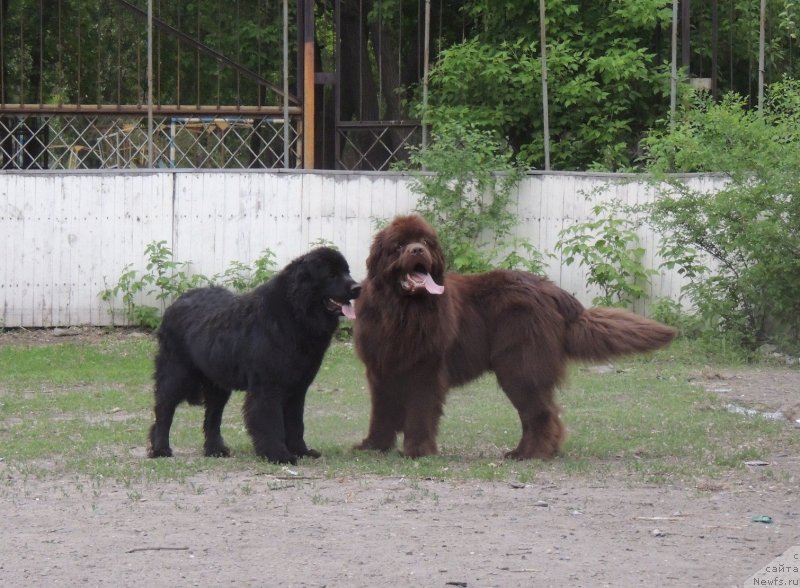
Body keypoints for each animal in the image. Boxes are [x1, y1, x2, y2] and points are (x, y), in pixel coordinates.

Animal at [148, 246, 360, 462]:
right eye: (332, 275)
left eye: (347, 272)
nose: (357, 288)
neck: (294, 313)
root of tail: (176, 302)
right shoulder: (268, 386)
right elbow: (271, 421)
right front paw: (278, 454)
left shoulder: (298, 388)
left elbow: (296, 423)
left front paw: (301, 451)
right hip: (175, 372)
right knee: (164, 411)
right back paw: (161, 449)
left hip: (217, 383)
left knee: (212, 417)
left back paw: (215, 449)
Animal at [354, 215, 672, 460]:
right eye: (399, 246)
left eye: (426, 242)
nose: (418, 250)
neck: (401, 312)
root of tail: (551, 290)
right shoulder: (380, 368)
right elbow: (381, 412)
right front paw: (373, 447)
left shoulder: (426, 369)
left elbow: (420, 411)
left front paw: (417, 451)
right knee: (543, 412)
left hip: (518, 365)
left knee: (540, 413)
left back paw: (531, 454)